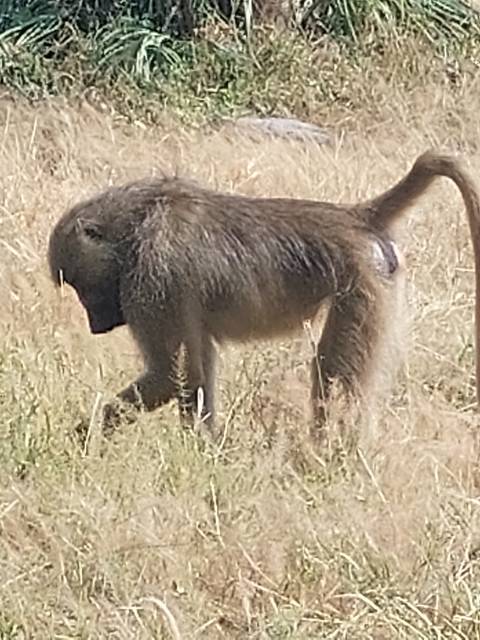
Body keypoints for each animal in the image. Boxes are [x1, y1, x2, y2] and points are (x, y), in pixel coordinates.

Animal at [48, 151, 480, 442]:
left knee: (331, 374)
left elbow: (172, 375)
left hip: (360, 286)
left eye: (79, 285)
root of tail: (356, 217)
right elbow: (197, 374)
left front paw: (78, 439)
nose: (95, 325)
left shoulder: (152, 282)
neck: (136, 226)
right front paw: (205, 454)